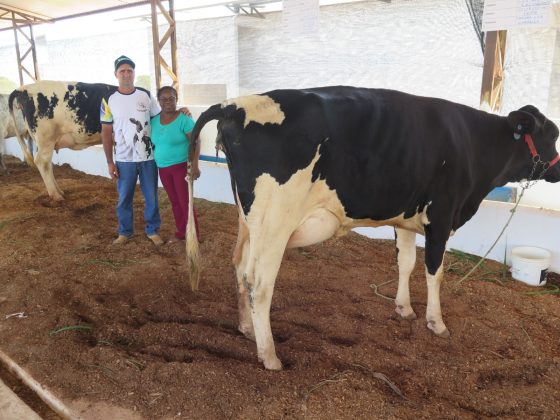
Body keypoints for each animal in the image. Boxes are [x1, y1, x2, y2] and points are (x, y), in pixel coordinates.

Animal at [186, 86, 560, 370]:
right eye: (551, 135)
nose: (557, 170)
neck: (474, 144)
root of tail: (234, 105)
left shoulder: (406, 216)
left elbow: (405, 262)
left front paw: (404, 309)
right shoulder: (440, 217)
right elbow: (434, 272)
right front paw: (436, 323)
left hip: (249, 221)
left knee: (239, 266)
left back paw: (246, 328)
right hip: (274, 224)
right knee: (258, 283)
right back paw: (269, 355)